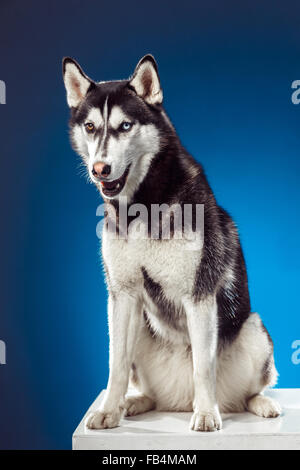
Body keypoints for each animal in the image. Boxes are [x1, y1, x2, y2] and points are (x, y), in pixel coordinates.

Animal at [63, 54, 282, 430]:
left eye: (125, 126)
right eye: (90, 127)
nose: (100, 169)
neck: (142, 207)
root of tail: (178, 401)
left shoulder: (199, 295)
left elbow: (203, 366)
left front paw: (206, 413)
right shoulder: (123, 295)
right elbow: (116, 364)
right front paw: (108, 410)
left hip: (254, 328)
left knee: (247, 392)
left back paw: (257, 404)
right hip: (142, 329)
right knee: (147, 387)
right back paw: (134, 403)